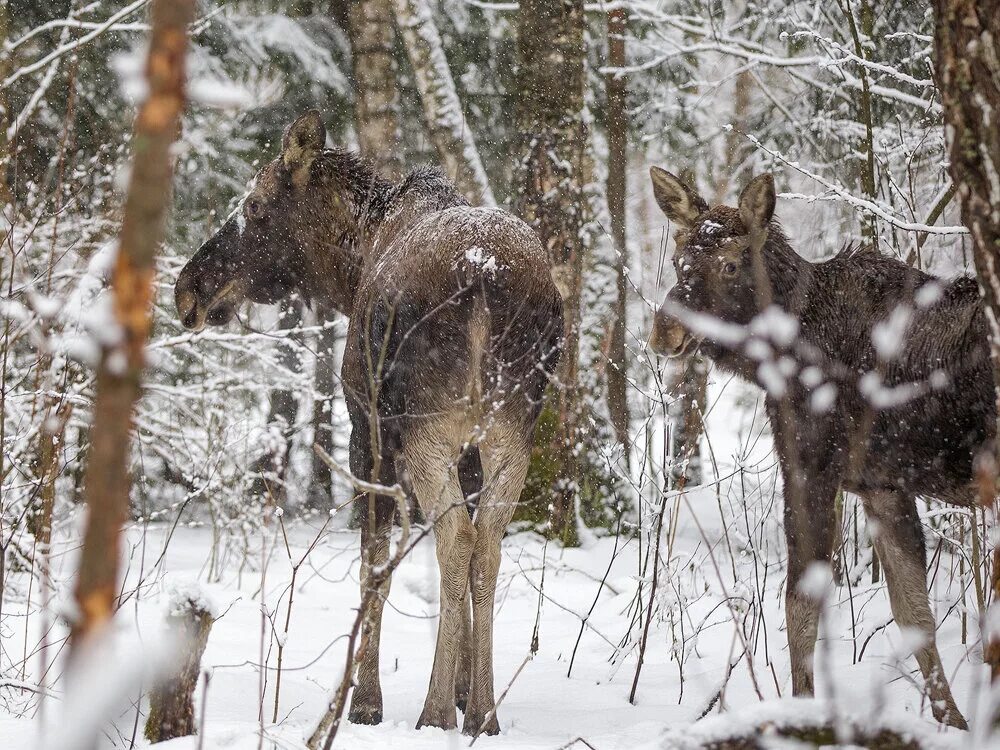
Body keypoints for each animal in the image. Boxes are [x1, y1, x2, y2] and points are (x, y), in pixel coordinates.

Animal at [173, 113, 564, 740]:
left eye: (255, 205)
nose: (187, 288)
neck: (350, 266)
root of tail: (484, 282)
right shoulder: (470, 452)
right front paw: (462, 688)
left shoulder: (367, 434)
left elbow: (373, 562)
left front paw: (366, 702)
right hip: (511, 432)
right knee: (486, 544)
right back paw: (483, 712)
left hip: (428, 429)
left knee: (454, 541)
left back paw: (434, 711)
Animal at [644, 167, 988, 732]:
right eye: (678, 260)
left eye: (731, 263)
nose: (664, 330)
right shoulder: (881, 484)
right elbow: (914, 611)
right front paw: (954, 724)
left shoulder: (811, 465)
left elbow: (799, 605)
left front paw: (802, 712)